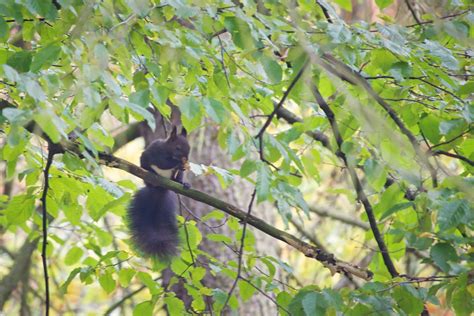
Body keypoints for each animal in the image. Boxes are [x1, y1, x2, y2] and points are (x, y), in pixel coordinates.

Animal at [130, 126, 191, 260]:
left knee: (177, 179)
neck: (170, 153)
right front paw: (178, 164)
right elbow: (163, 163)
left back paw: (183, 183)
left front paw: (183, 167)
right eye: (178, 147)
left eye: (190, 148)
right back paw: (152, 173)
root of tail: (160, 189)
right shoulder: (157, 153)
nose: (186, 158)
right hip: (144, 162)